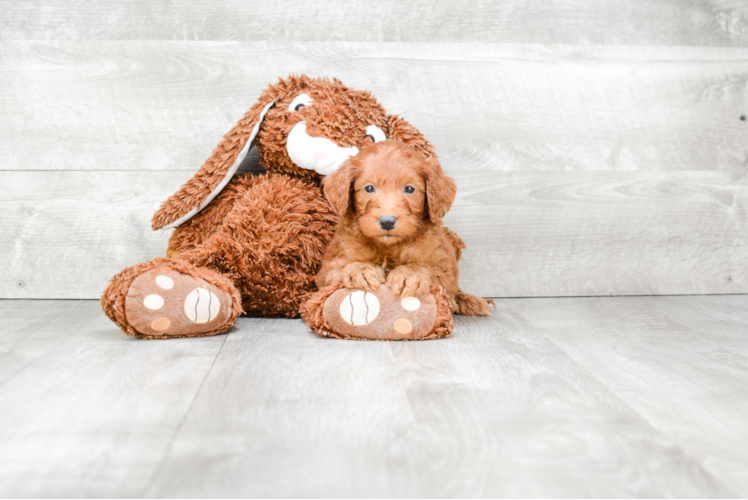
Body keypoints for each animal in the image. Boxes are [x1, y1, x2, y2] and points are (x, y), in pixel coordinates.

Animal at [314, 139, 490, 314]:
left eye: (409, 189)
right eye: (369, 188)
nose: (387, 221)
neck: (388, 247)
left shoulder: (444, 270)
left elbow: (428, 269)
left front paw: (409, 274)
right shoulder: (327, 270)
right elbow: (338, 270)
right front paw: (359, 270)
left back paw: (471, 301)